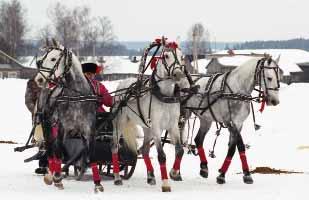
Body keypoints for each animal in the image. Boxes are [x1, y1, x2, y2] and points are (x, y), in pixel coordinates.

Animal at [33, 40, 103, 192]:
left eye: (53, 59)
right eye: (41, 60)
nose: (39, 79)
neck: (77, 96)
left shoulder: (89, 130)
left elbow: (92, 155)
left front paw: (98, 184)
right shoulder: (62, 128)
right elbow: (58, 151)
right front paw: (57, 178)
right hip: (47, 124)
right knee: (50, 148)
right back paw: (51, 174)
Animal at [110, 39, 186, 191]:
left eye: (182, 57)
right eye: (166, 56)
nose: (178, 74)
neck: (164, 96)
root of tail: (122, 84)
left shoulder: (173, 126)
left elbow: (180, 150)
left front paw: (174, 173)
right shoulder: (156, 128)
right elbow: (161, 156)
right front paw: (166, 183)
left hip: (146, 127)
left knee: (144, 150)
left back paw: (151, 177)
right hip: (120, 123)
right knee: (114, 147)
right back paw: (117, 178)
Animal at [180, 55, 280, 184]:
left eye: (278, 78)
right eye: (269, 78)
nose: (275, 101)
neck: (237, 89)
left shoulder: (238, 123)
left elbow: (233, 148)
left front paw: (224, 173)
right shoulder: (232, 123)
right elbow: (239, 146)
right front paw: (243, 175)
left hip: (205, 119)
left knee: (198, 140)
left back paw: (204, 167)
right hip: (184, 113)